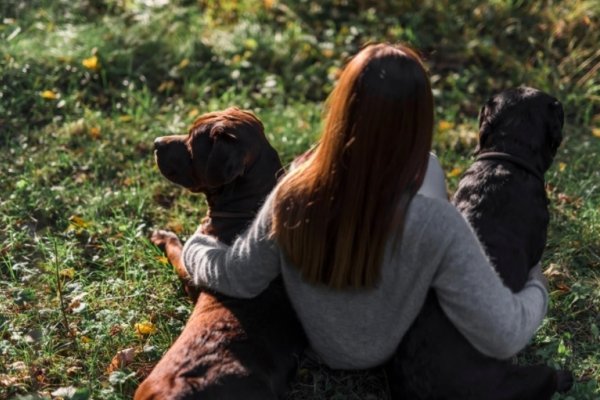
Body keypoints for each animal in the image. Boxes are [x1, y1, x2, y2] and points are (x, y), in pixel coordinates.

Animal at [134, 108, 308, 400]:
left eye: (191, 143)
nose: (156, 142)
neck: (245, 204)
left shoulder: (191, 271)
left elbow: (176, 248)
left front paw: (161, 236)